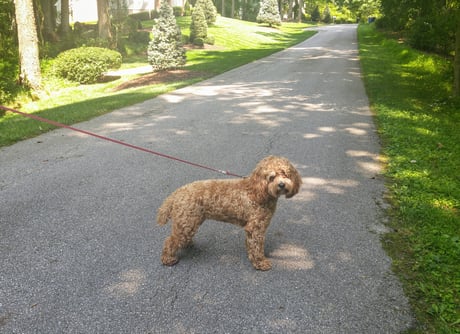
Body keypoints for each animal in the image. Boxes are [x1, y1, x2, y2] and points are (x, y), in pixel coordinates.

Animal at [156, 155, 304, 270]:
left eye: (285, 174)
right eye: (271, 177)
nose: (282, 185)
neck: (258, 192)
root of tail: (177, 193)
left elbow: (251, 245)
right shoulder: (255, 228)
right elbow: (257, 246)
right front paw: (260, 262)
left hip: (190, 222)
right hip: (187, 221)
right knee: (170, 241)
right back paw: (168, 258)